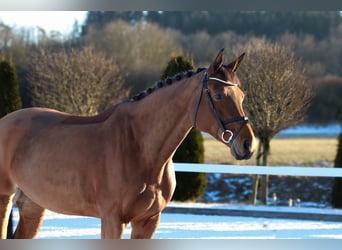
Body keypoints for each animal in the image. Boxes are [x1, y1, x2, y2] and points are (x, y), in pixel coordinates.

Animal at [0, 48, 254, 238]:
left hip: (32, 206)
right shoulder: (113, 220)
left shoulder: (148, 221)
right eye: (219, 95)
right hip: (5, 200)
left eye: (242, 97)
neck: (140, 147)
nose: (247, 144)